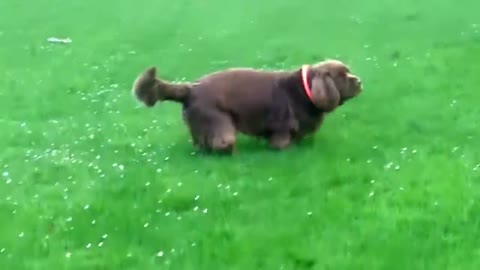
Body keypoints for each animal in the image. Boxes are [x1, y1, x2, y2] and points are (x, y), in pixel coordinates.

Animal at [129, 59, 362, 154]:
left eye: (348, 72)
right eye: (343, 76)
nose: (359, 81)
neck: (305, 90)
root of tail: (190, 88)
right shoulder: (282, 126)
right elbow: (281, 142)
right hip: (218, 120)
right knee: (221, 141)